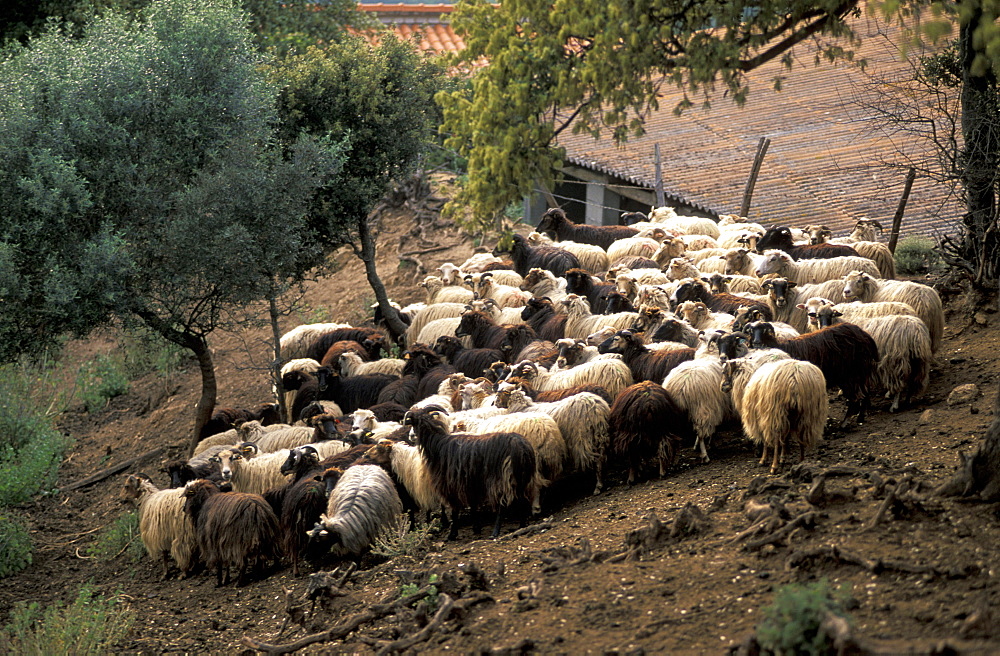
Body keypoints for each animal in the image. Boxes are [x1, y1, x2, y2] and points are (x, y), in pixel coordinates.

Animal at [402, 408, 540, 540]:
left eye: (414, 423)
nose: (411, 435)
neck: (438, 445)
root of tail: (521, 447)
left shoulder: (452, 484)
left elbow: (455, 510)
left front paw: (452, 534)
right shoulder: (471, 483)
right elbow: (473, 506)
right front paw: (476, 528)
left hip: (502, 478)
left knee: (503, 505)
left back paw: (495, 532)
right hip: (522, 478)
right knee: (523, 499)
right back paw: (522, 526)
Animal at [748, 322, 880, 426]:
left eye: (763, 330)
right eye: (751, 332)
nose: (756, 342)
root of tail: (864, 335)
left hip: (850, 373)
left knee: (855, 397)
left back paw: (845, 423)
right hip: (860, 372)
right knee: (865, 392)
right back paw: (860, 417)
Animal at [800, 302, 932, 410]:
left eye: (832, 315)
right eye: (818, 315)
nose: (823, 327)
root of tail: (916, 331)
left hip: (896, 360)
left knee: (900, 382)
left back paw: (894, 405)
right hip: (918, 360)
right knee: (913, 380)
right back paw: (907, 401)